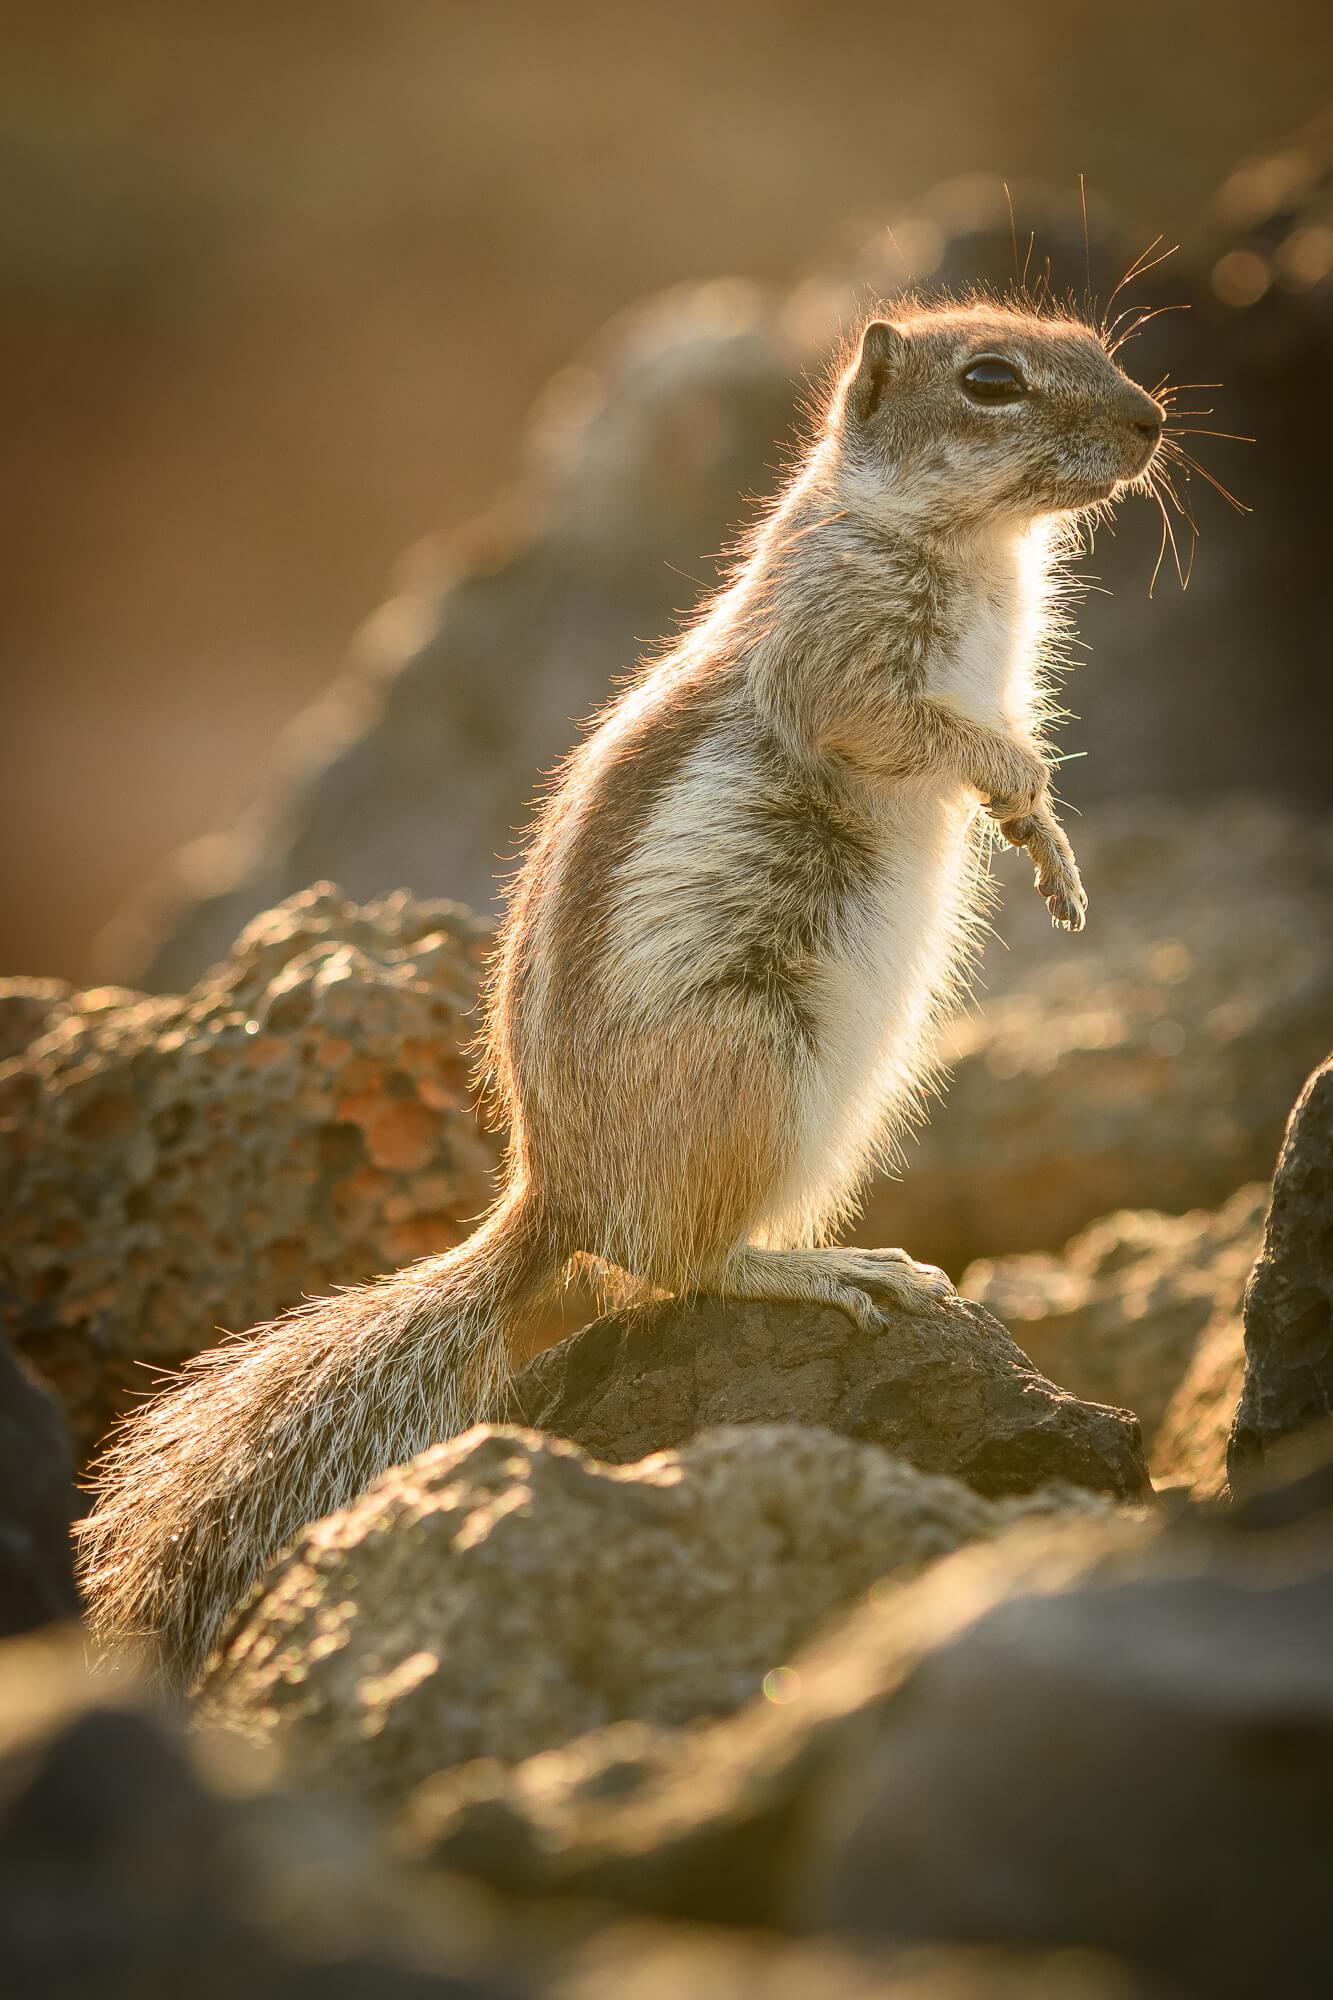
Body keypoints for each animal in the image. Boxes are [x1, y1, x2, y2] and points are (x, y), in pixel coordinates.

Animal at [80, 296, 1160, 1680]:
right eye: (990, 380)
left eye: (1096, 346)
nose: (1153, 420)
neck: (967, 544)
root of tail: (554, 1194)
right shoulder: (844, 657)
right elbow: (912, 727)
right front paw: (1017, 792)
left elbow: (1014, 754)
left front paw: (1051, 846)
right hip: (755, 1062)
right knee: (675, 1262)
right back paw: (826, 1268)